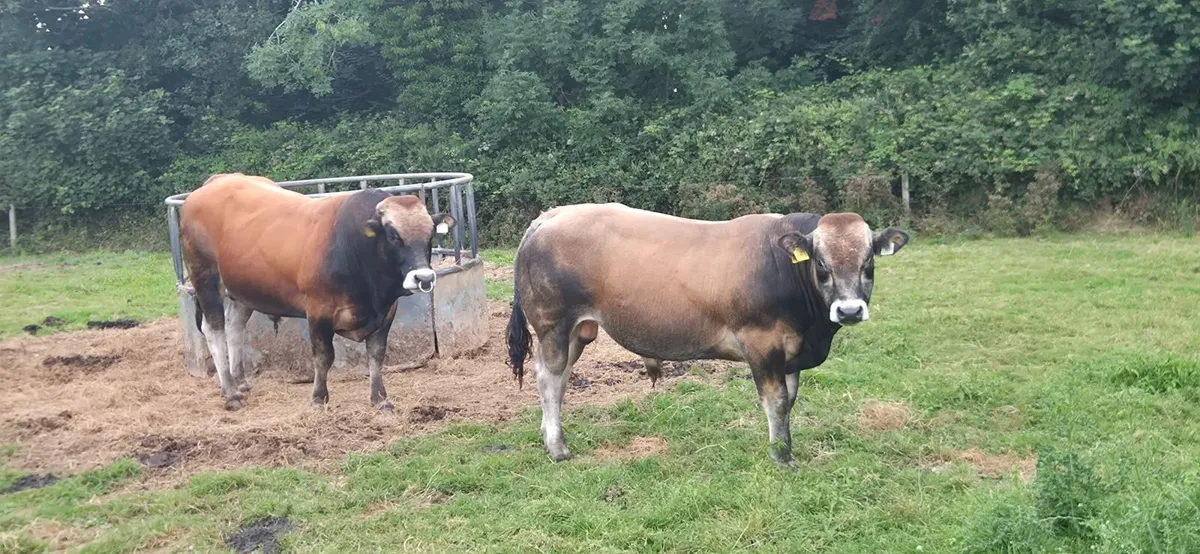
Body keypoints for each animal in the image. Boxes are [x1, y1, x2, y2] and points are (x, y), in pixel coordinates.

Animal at [180, 173, 454, 411]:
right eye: (393, 235)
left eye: (430, 234)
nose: (424, 278)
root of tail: (215, 182)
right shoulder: (318, 313)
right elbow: (324, 357)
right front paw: (318, 399)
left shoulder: (387, 313)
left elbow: (376, 355)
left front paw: (380, 399)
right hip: (206, 278)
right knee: (214, 330)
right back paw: (230, 393)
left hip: (242, 291)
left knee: (234, 328)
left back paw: (240, 382)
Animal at [505, 203, 908, 467]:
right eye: (822, 265)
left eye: (868, 263)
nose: (850, 310)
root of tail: (549, 216)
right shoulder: (761, 344)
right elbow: (777, 402)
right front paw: (781, 458)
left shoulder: (792, 351)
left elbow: (791, 400)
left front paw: (786, 448)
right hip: (553, 324)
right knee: (549, 379)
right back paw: (558, 448)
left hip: (577, 331)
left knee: (559, 379)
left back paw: (548, 437)